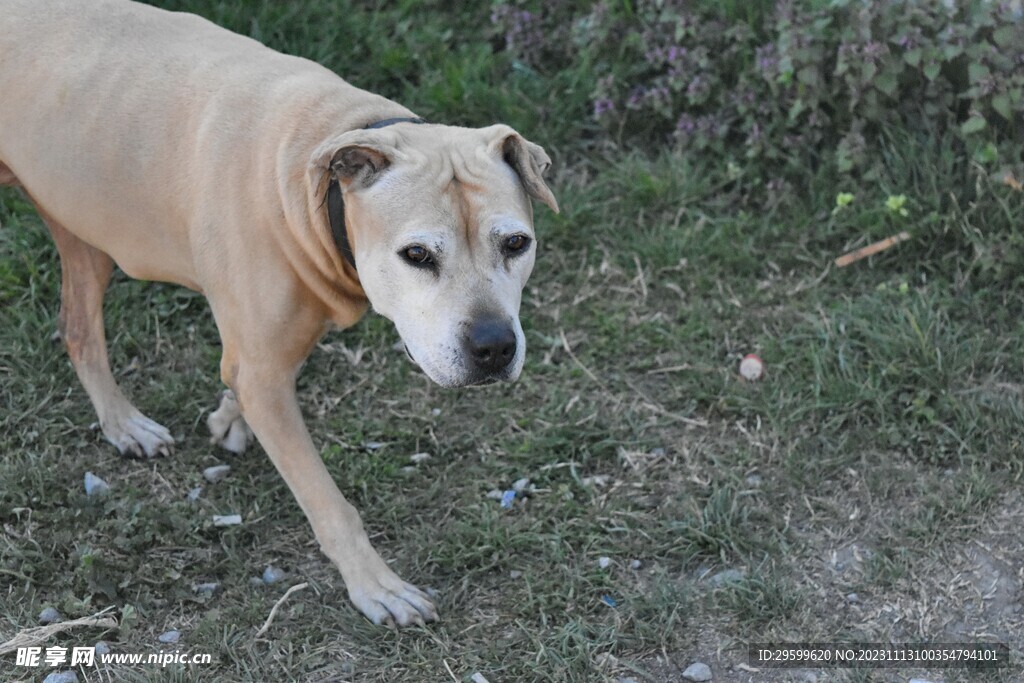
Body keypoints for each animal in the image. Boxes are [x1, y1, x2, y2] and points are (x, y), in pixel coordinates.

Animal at [2, 0, 561, 630]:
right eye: (417, 255)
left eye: (516, 244)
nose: (494, 347)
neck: (316, 180)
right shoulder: (267, 374)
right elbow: (328, 502)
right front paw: (376, 585)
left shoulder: (266, 358)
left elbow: (239, 376)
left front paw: (228, 417)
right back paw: (126, 424)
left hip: (80, 228)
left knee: (76, 328)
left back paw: (123, 424)